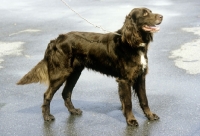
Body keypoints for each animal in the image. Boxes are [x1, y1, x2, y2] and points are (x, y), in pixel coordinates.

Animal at [17, 7, 162, 126]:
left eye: (150, 11)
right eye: (145, 13)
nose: (161, 16)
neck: (132, 43)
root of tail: (55, 41)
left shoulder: (140, 76)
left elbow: (144, 100)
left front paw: (150, 116)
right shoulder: (125, 80)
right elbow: (128, 102)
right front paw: (131, 120)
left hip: (75, 72)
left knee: (66, 93)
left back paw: (73, 111)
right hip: (60, 73)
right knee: (47, 94)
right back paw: (47, 117)